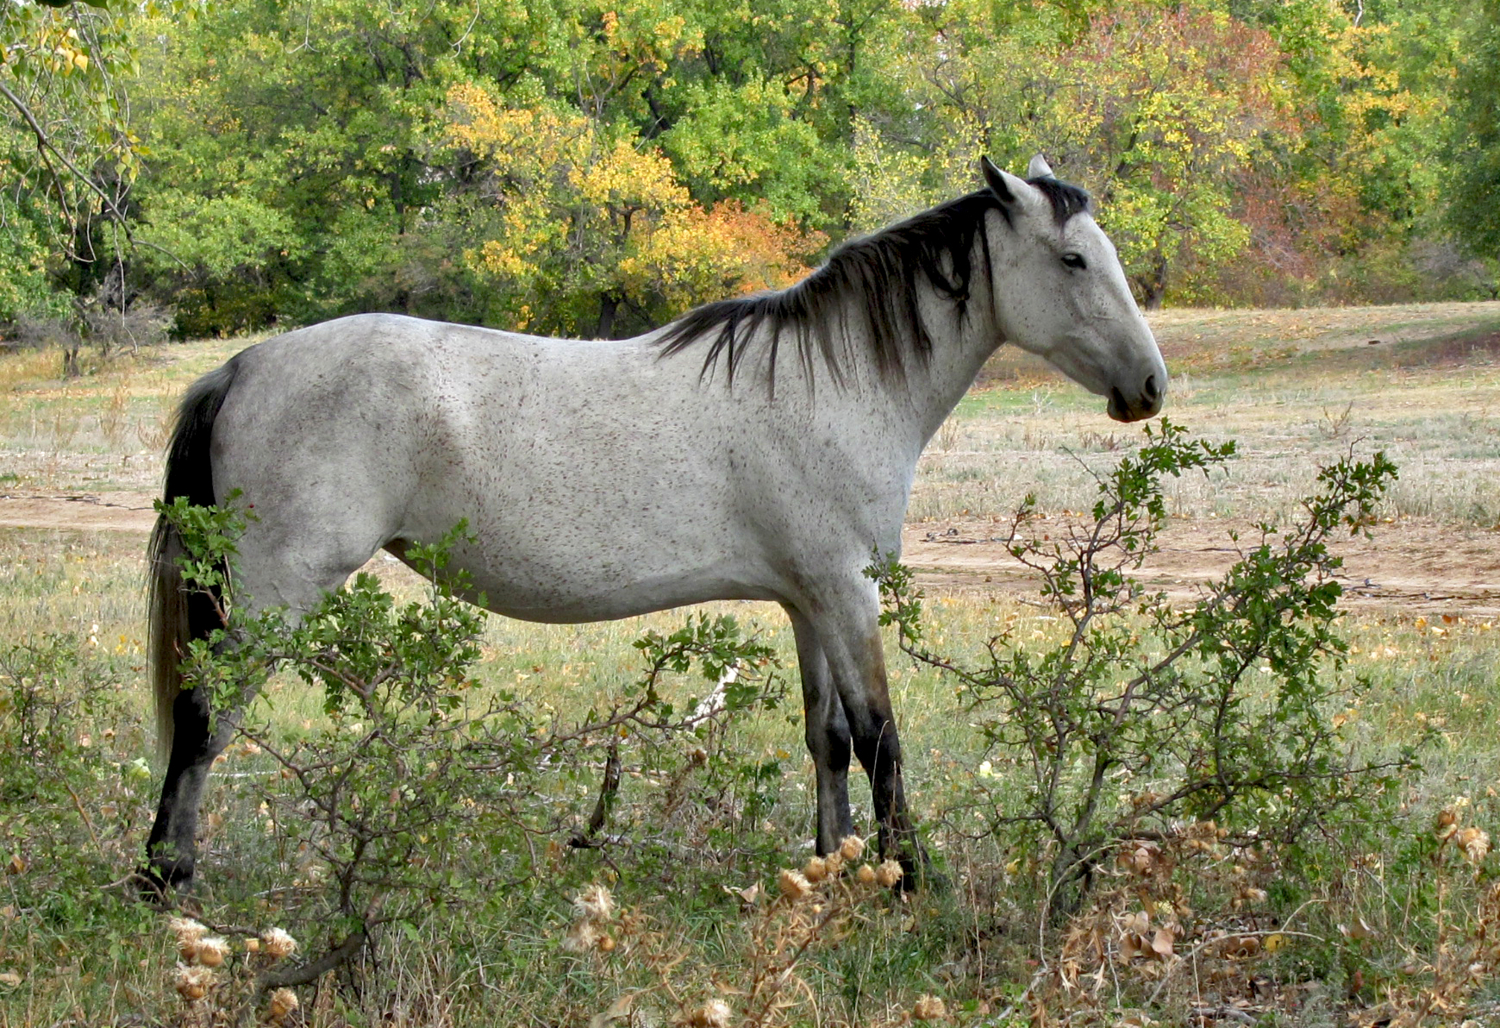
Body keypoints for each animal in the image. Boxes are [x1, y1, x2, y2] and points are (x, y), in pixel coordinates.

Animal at [143, 156, 1170, 888]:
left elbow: (829, 739)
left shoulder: (807, 600)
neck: (835, 382)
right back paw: (168, 874)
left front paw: (831, 868)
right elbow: (881, 734)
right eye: (1073, 260)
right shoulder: (849, 591)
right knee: (203, 714)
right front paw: (913, 877)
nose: (1151, 387)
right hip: (274, 594)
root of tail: (243, 366)